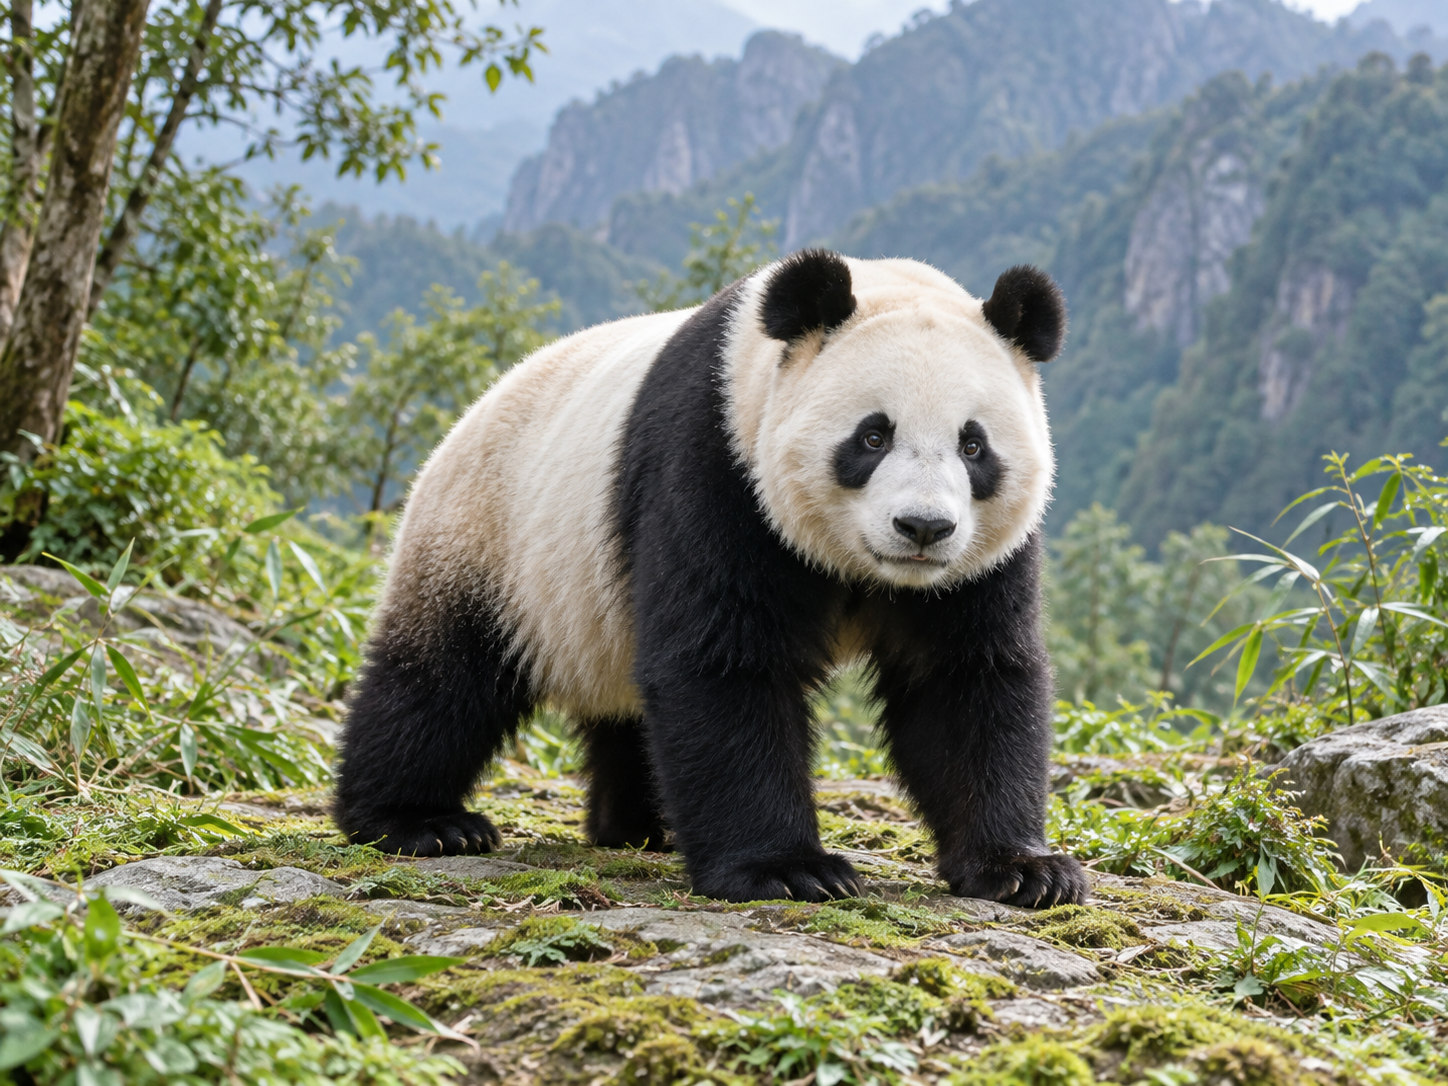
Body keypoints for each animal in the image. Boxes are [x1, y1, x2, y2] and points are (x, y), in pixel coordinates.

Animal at [334, 250, 1087, 908]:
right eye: (873, 437)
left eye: (973, 445)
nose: (924, 528)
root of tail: (470, 413)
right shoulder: (718, 465)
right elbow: (724, 662)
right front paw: (788, 870)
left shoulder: (980, 564)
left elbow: (964, 680)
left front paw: (1023, 869)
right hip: (490, 541)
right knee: (439, 682)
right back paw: (419, 822)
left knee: (625, 706)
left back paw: (640, 826)